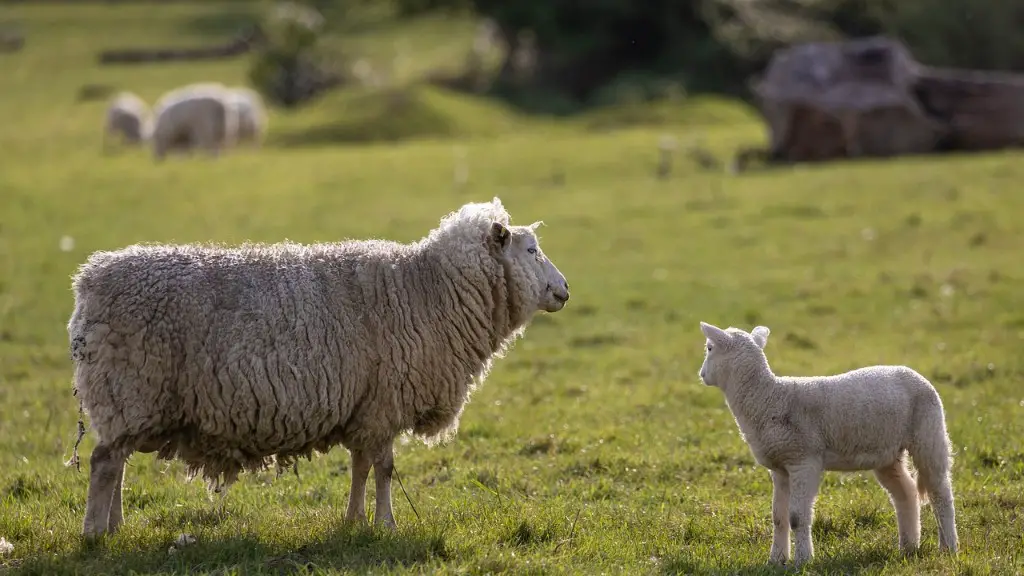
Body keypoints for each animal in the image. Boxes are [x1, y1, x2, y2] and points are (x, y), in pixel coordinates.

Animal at [68, 198, 573, 537]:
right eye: (531, 251)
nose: (565, 290)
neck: (427, 290)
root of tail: (89, 280)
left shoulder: (365, 405)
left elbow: (361, 467)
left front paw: (354, 520)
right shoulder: (386, 402)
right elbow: (385, 468)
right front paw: (386, 524)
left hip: (127, 399)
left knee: (117, 463)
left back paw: (114, 526)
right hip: (128, 387)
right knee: (103, 463)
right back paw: (94, 533)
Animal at [696, 319, 958, 561]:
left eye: (709, 348)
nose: (702, 375)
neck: (768, 398)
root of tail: (916, 374)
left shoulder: (803, 460)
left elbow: (796, 517)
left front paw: (802, 560)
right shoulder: (780, 467)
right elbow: (778, 517)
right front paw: (776, 560)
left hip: (928, 434)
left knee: (940, 493)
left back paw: (949, 548)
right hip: (887, 453)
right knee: (906, 493)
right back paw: (908, 547)